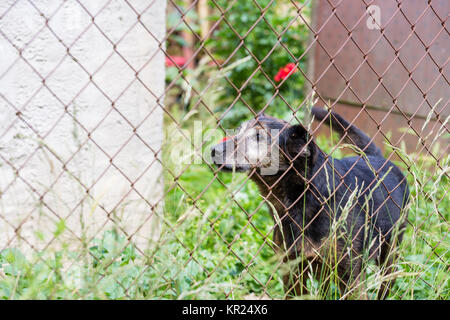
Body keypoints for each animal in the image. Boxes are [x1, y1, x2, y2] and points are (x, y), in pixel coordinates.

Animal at [209, 107, 410, 298]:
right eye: (238, 131)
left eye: (259, 136)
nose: (213, 150)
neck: (304, 198)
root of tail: (377, 157)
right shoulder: (291, 271)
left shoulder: (350, 275)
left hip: (390, 255)